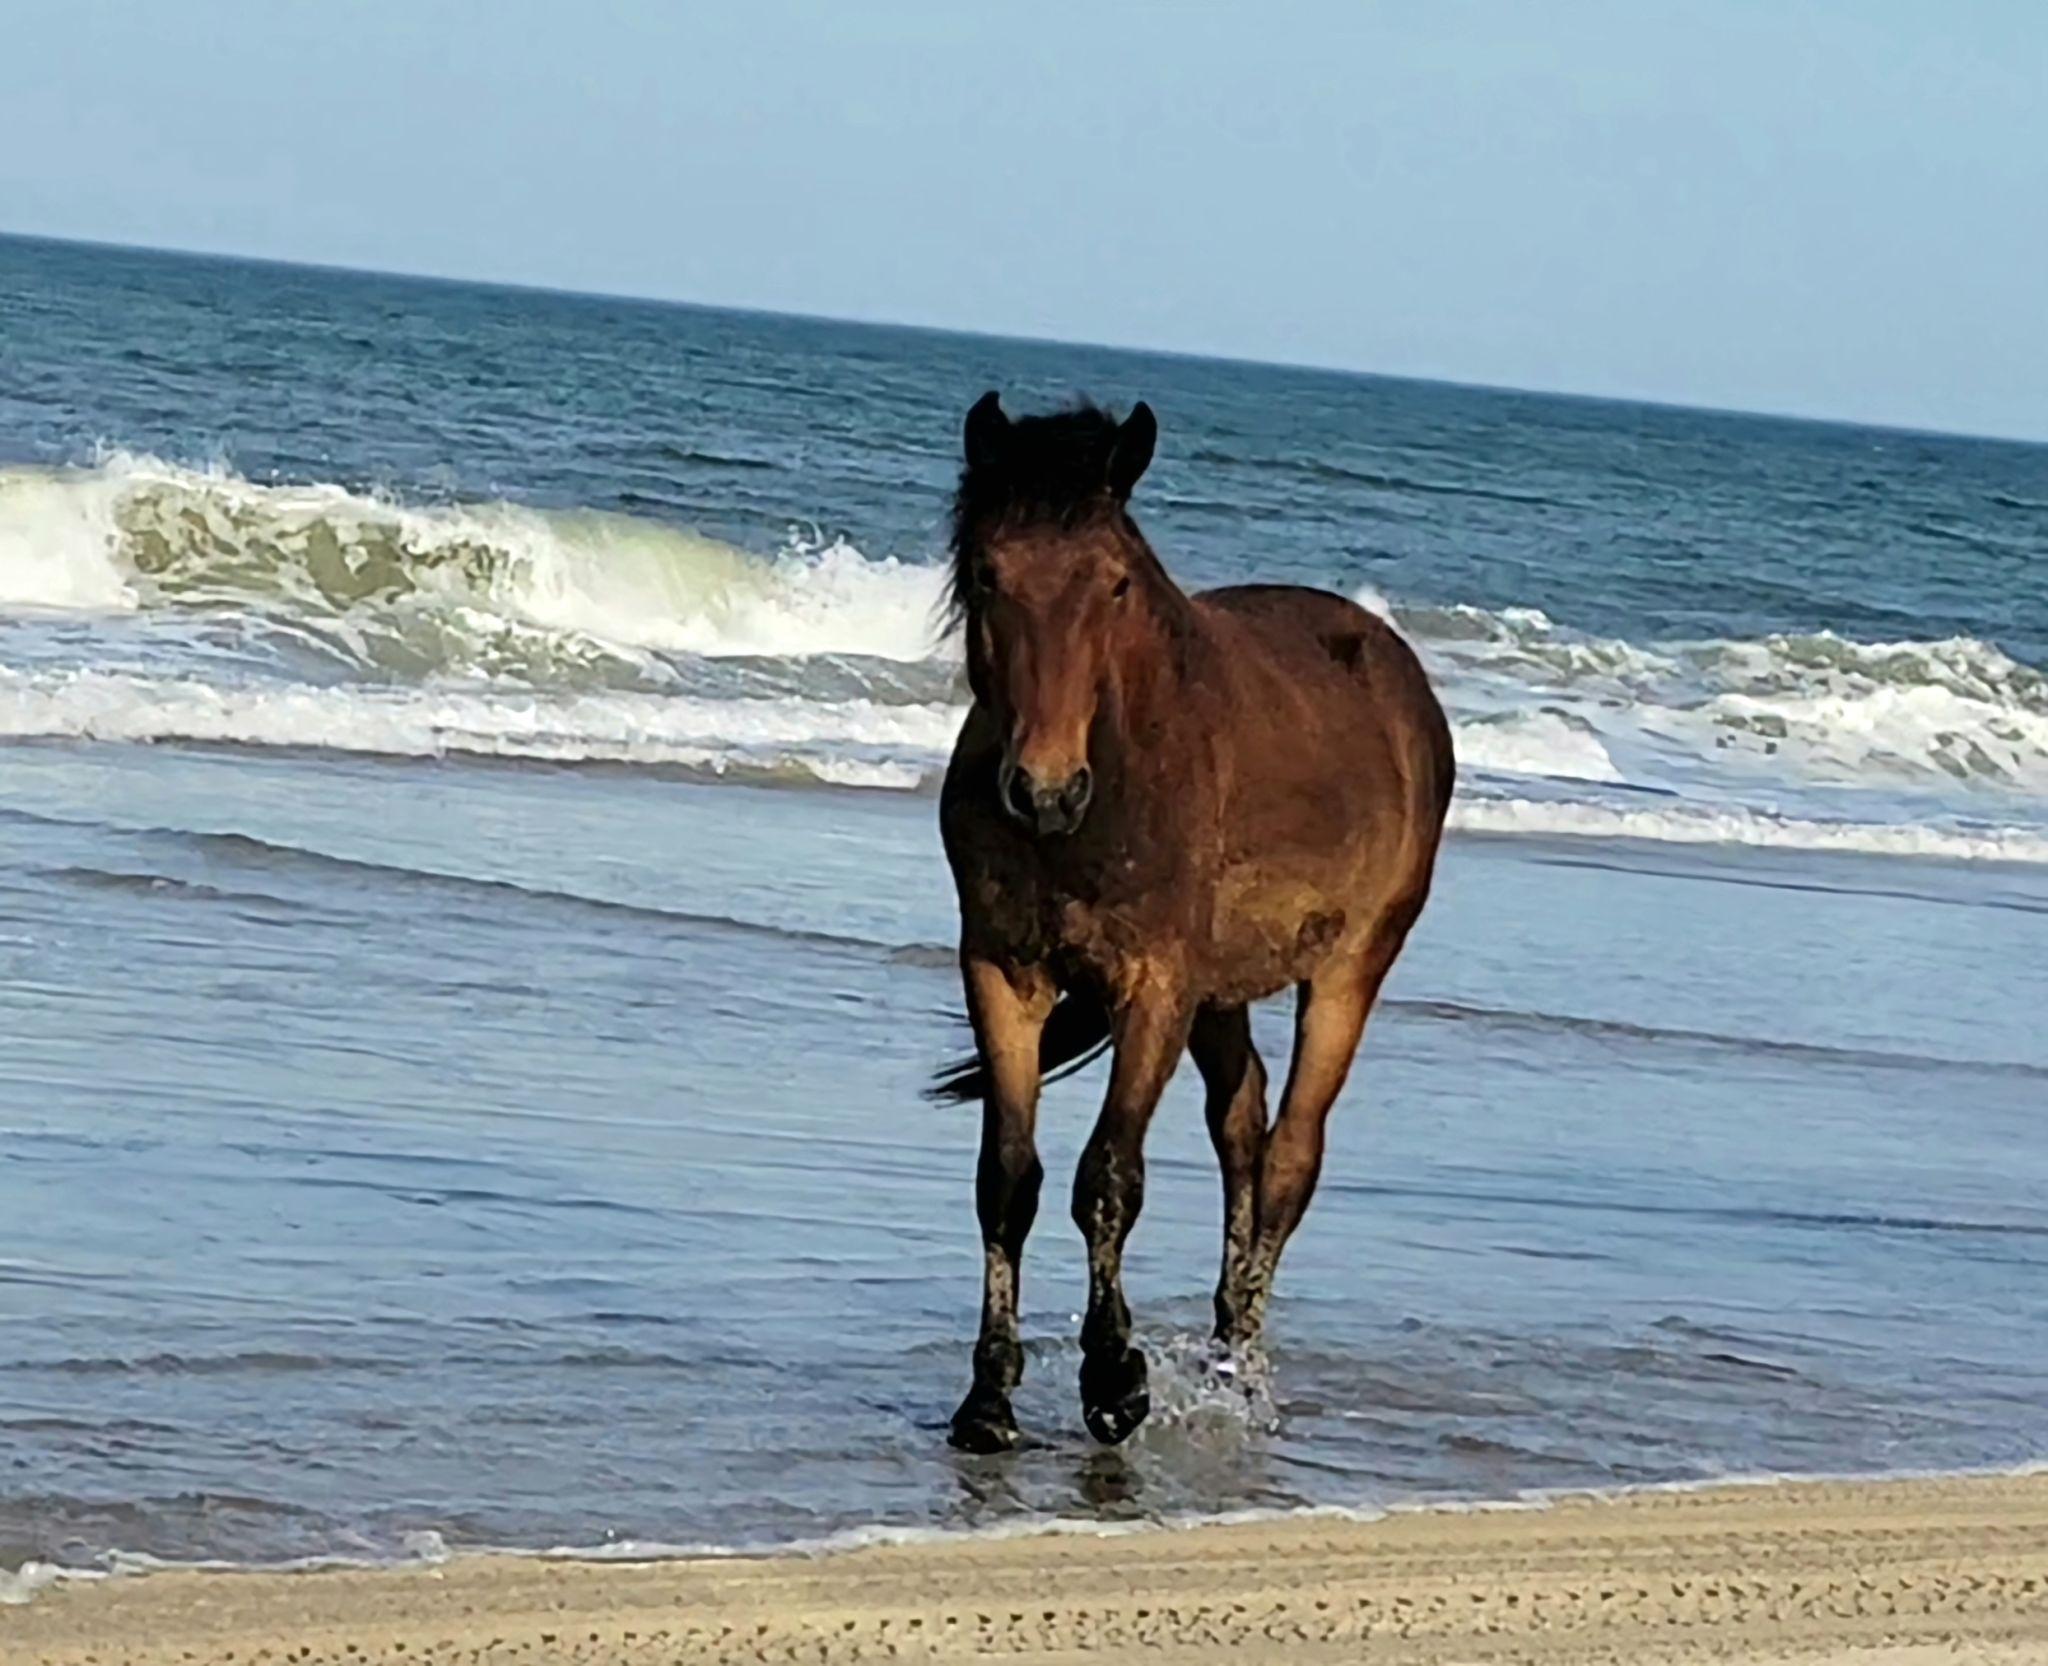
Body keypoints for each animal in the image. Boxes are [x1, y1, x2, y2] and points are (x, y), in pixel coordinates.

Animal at [931, 392, 1455, 1453]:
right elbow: (1007, 1179)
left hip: (1349, 969)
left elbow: (1108, 1178)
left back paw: (1239, 1371)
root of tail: (1399, 670)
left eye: (1115, 582)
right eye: (990, 573)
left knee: (1291, 1154)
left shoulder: (1154, 990)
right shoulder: (1002, 973)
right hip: (1223, 989)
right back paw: (1218, 1342)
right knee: (1241, 1122)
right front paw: (988, 1401)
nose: (1044, 789)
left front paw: (1114, 1382)